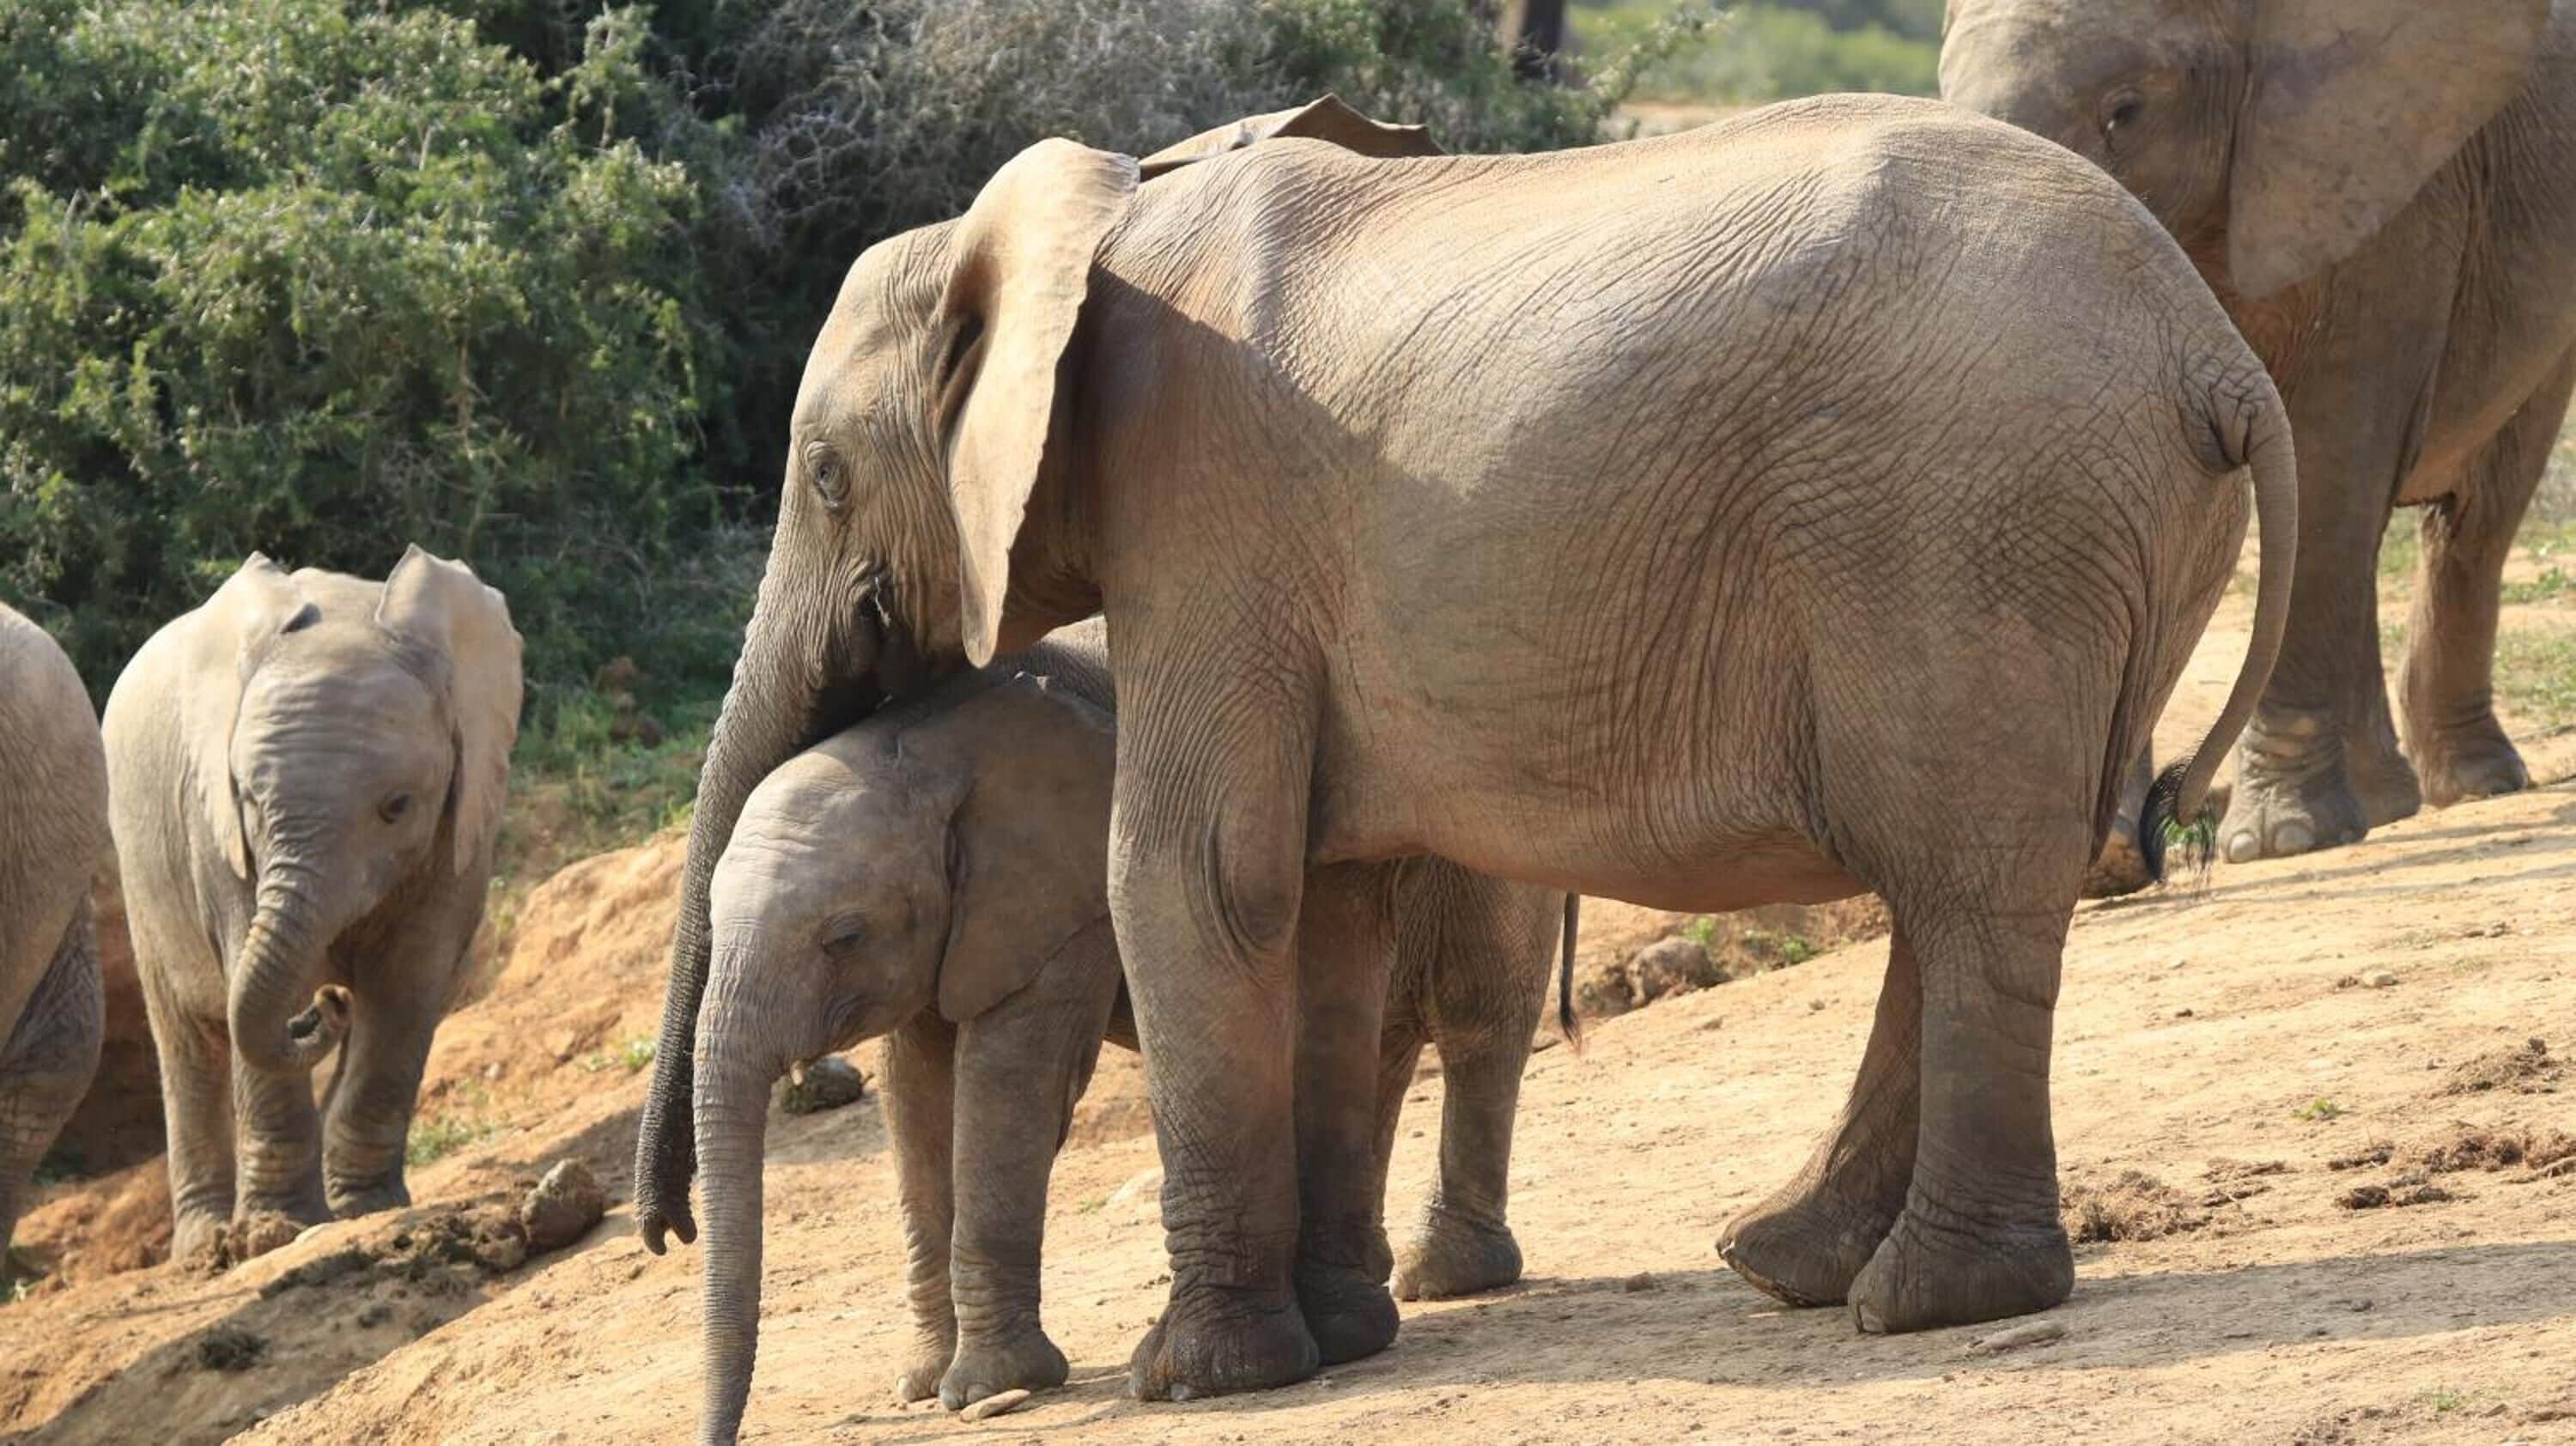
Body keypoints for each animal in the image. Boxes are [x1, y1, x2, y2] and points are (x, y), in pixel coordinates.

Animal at [102, 547, 521, 1263]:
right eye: (248, 798)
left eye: (397, 807)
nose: (320, 1005)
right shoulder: (217, 837)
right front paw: (275, 1233)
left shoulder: (462, 815)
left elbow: (409, 981)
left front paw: (365, 1208)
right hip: (140, 869)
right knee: (188, 1042)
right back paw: (204, 1247)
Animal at [691, 620, 1566, 1440]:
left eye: (842, 937)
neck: (927, 744)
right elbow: (916, 1096)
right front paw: (924, 1384)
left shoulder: (1065, 894)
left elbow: (1011, 1085)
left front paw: (986, 1388)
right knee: (1373, 1043)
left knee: (1479, 1026)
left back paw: (1440, 1277)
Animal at [1942, 0, 2576, 875]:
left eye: (2125, 112)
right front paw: (2108, 863)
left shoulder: (2385, 197)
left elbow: (2326, 461)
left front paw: (2279, 841)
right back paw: (2386, 804)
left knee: (2474, 517)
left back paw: (2472, 788)